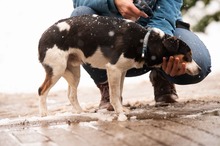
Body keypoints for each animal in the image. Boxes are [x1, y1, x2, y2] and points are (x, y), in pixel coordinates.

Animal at [38, 14, 201, 116]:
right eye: (188, 55)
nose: (199, 69)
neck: (144, 42)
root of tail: (43, 36)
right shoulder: (113, 69)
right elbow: (115, 95)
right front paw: (120, 112)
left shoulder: (121, 72)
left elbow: (119, 93)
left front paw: (121, 109)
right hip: (57, 69)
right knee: (41, 91)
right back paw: (44, 113)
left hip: (73, 72)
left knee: (71, 95)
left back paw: (80, 112)